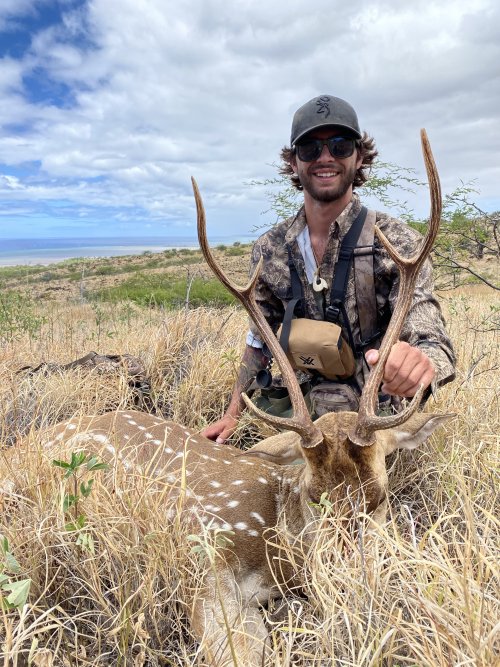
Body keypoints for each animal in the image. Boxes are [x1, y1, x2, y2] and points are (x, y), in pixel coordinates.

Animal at [3, 130, 454, 666]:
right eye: (313, 497)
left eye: (379, 499)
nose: (346, 587)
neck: (275, 546)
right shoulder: (201, 558)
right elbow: (242, 649)